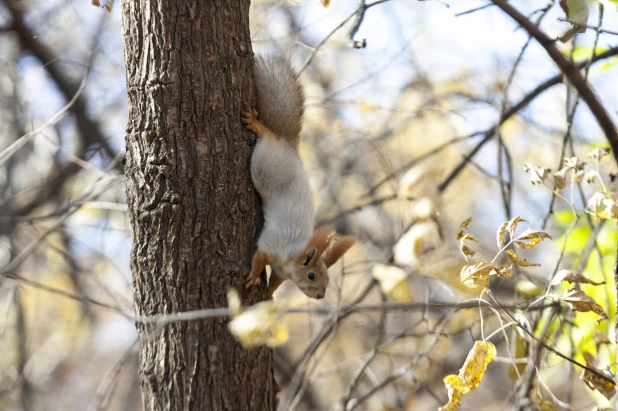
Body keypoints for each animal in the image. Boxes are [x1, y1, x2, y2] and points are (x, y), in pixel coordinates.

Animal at [243, 54, 354, 300]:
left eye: (327, 279)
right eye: (311, 276)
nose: (320, 296)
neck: (292, 256)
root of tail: (288, 145)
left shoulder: (282, 272)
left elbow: (275, 281)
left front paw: (270, 294)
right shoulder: (271, 246)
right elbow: (259, 258)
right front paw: (254, 276)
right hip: (266, 166)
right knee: (268, 136)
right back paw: (258, 126)